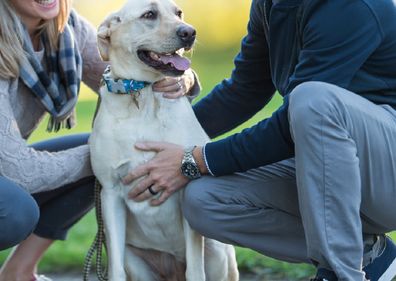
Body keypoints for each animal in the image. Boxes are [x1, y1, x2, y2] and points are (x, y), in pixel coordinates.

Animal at [89, 0, 238, 280]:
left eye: (178, 13)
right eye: (149, 14)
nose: (190, 32)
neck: (142, 94)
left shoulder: (184, 187)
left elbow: (195, 268)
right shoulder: (110, 194)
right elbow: (115, 268)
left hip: (219, 253)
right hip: (135, 259)